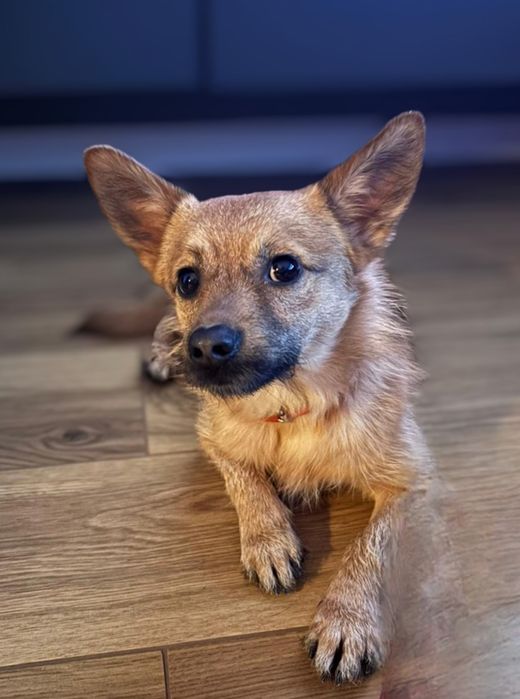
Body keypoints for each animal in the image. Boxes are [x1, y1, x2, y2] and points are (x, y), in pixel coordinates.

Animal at [84, 111, 431, 684]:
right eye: (187, 280)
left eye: (284, 268)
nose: (205, 346)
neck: (293, 407)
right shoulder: (214, 440)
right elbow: (245, 481)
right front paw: (267, 539)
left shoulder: (413, 481)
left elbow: (372, 545)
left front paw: (348, 618)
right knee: (161, 327)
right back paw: (163, 354)